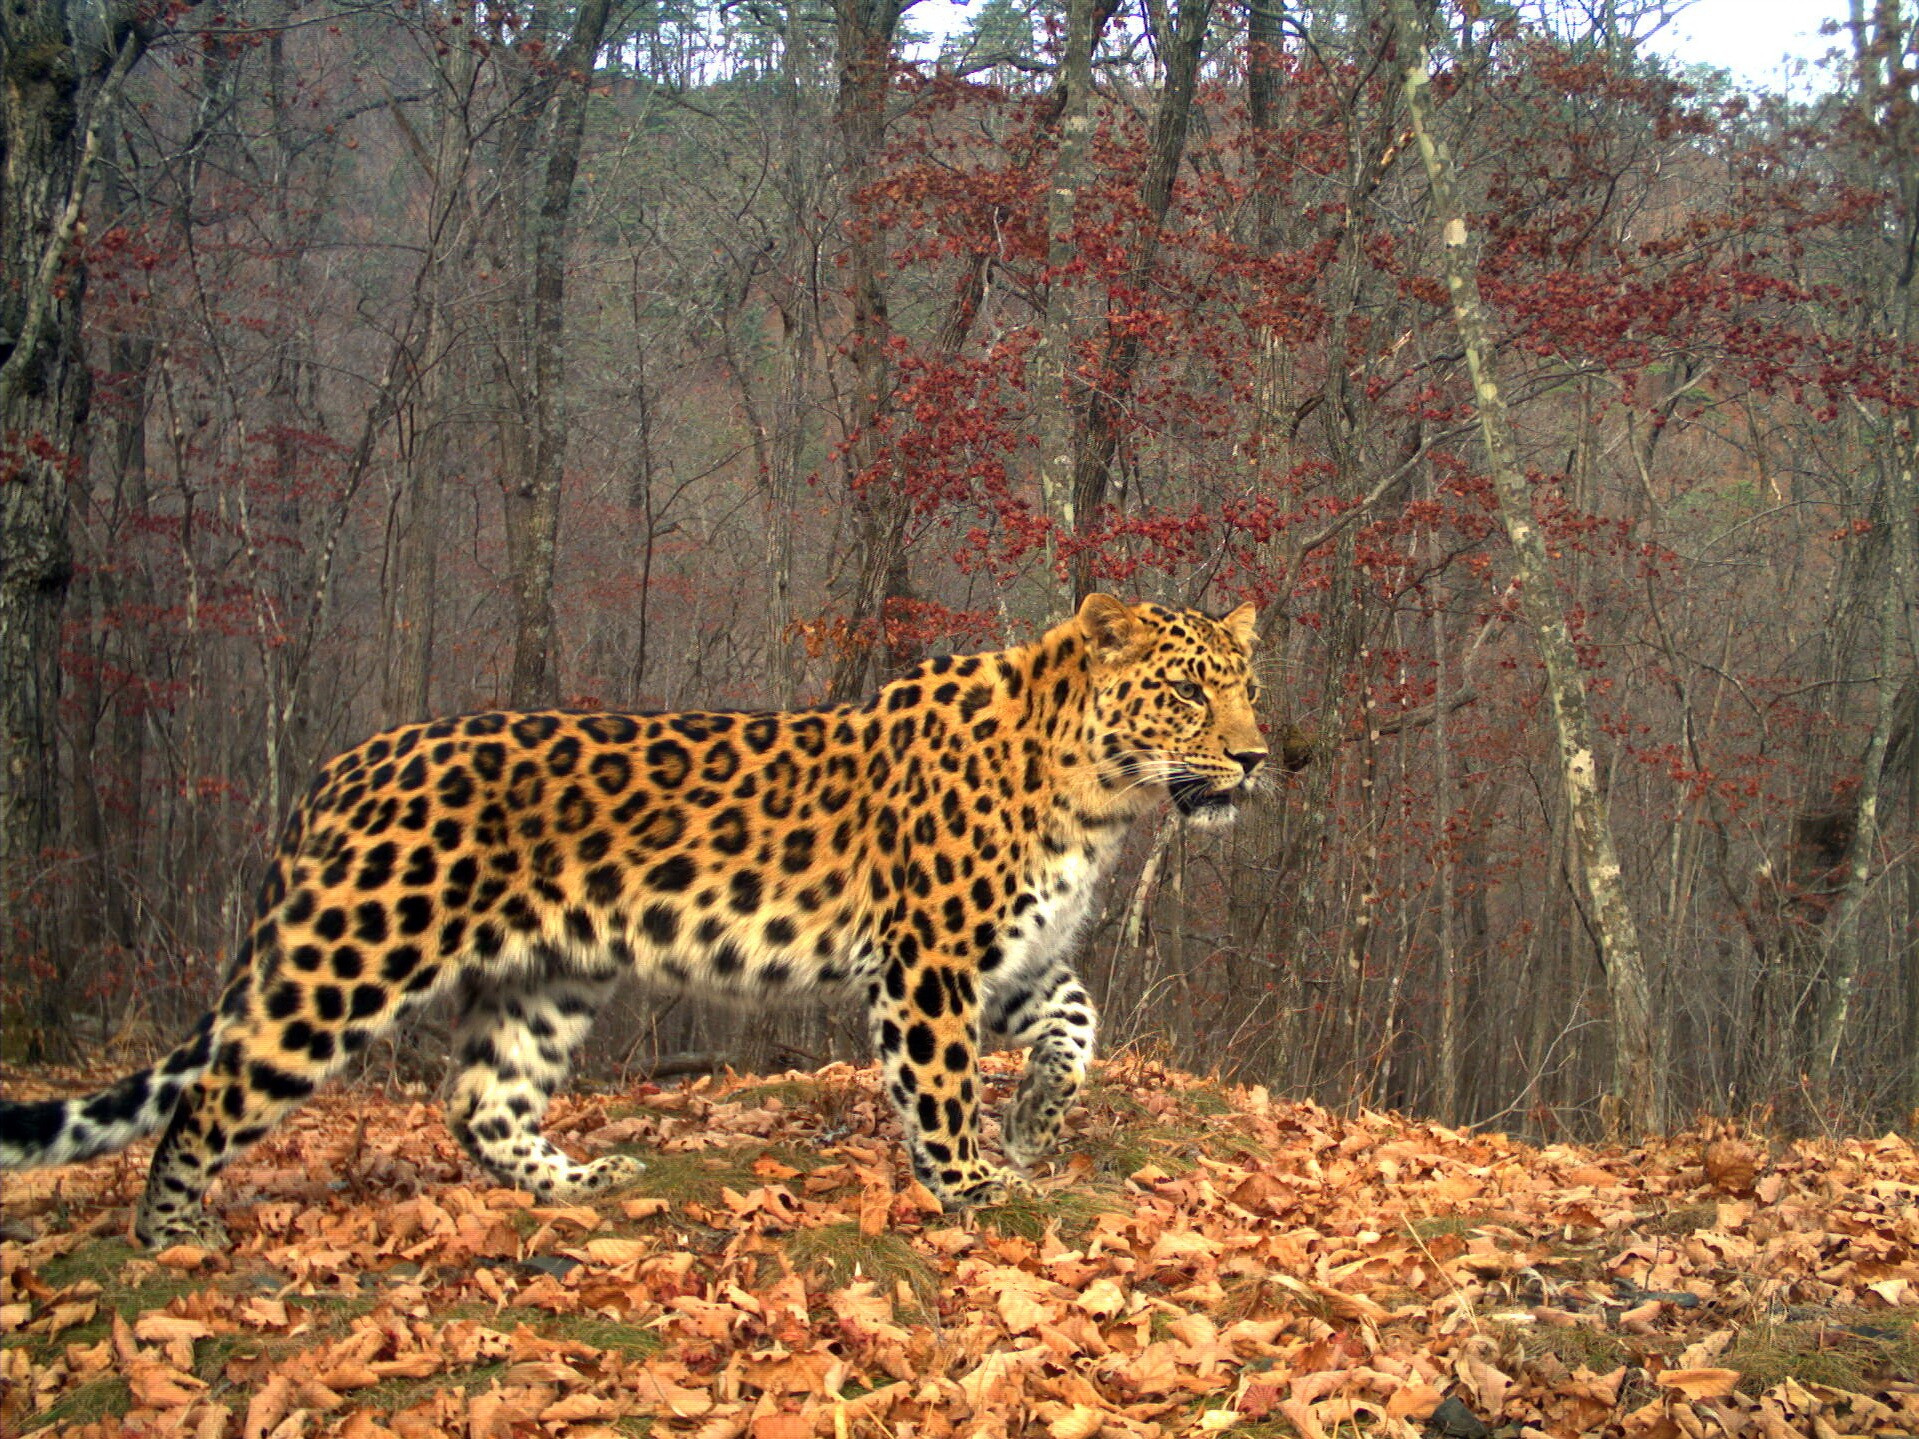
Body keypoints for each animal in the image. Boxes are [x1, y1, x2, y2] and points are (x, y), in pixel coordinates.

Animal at [3, 598, 1274, 1250]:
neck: (1098, 794)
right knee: (216, 1090)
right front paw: (977, 1184)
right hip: (348, 957)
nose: (1261, 754)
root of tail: (339, 766)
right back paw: (171, 1235)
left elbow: (1075, 1020)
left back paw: (580, 1178)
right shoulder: (926, 961)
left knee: (478, 1098)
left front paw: (1035, 1123)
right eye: (1187, 689)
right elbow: (942, 1087)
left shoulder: (1003, 957)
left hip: (546, 974)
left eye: (1245, 685)